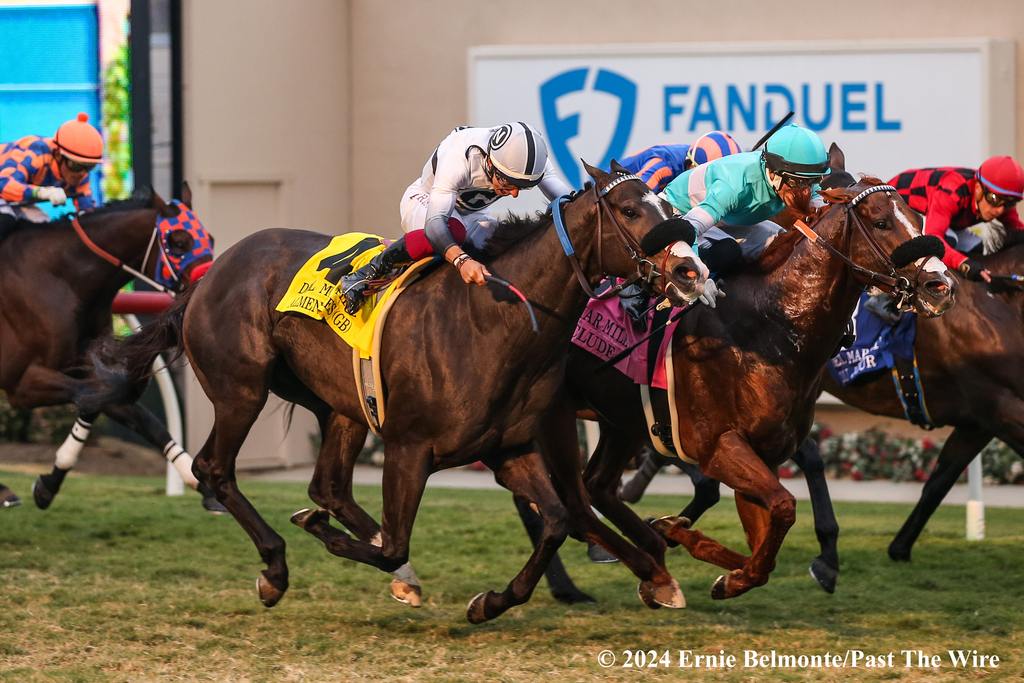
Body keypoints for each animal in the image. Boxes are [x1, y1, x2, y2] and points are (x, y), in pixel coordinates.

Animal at [0, 184, 216, 509]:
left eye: (210, 239)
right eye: (178, 242)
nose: (209, 286)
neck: (62, 278)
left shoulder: (86, 366)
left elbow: (143, 417)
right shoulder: (22, 383)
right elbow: (98, 395)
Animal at [79, 163, 708, 626]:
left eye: (670, 208)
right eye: (630, 210)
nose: (691, 272)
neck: (494, 320)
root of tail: (209, 273)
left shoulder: (510, 448)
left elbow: (555, 520)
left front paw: (489, 603)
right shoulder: (409, 448)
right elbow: (395, 544)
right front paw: (322, 537)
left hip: (338, 405)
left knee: (328, 485)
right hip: (242, 390)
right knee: (214, 469)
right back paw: (276, 569)